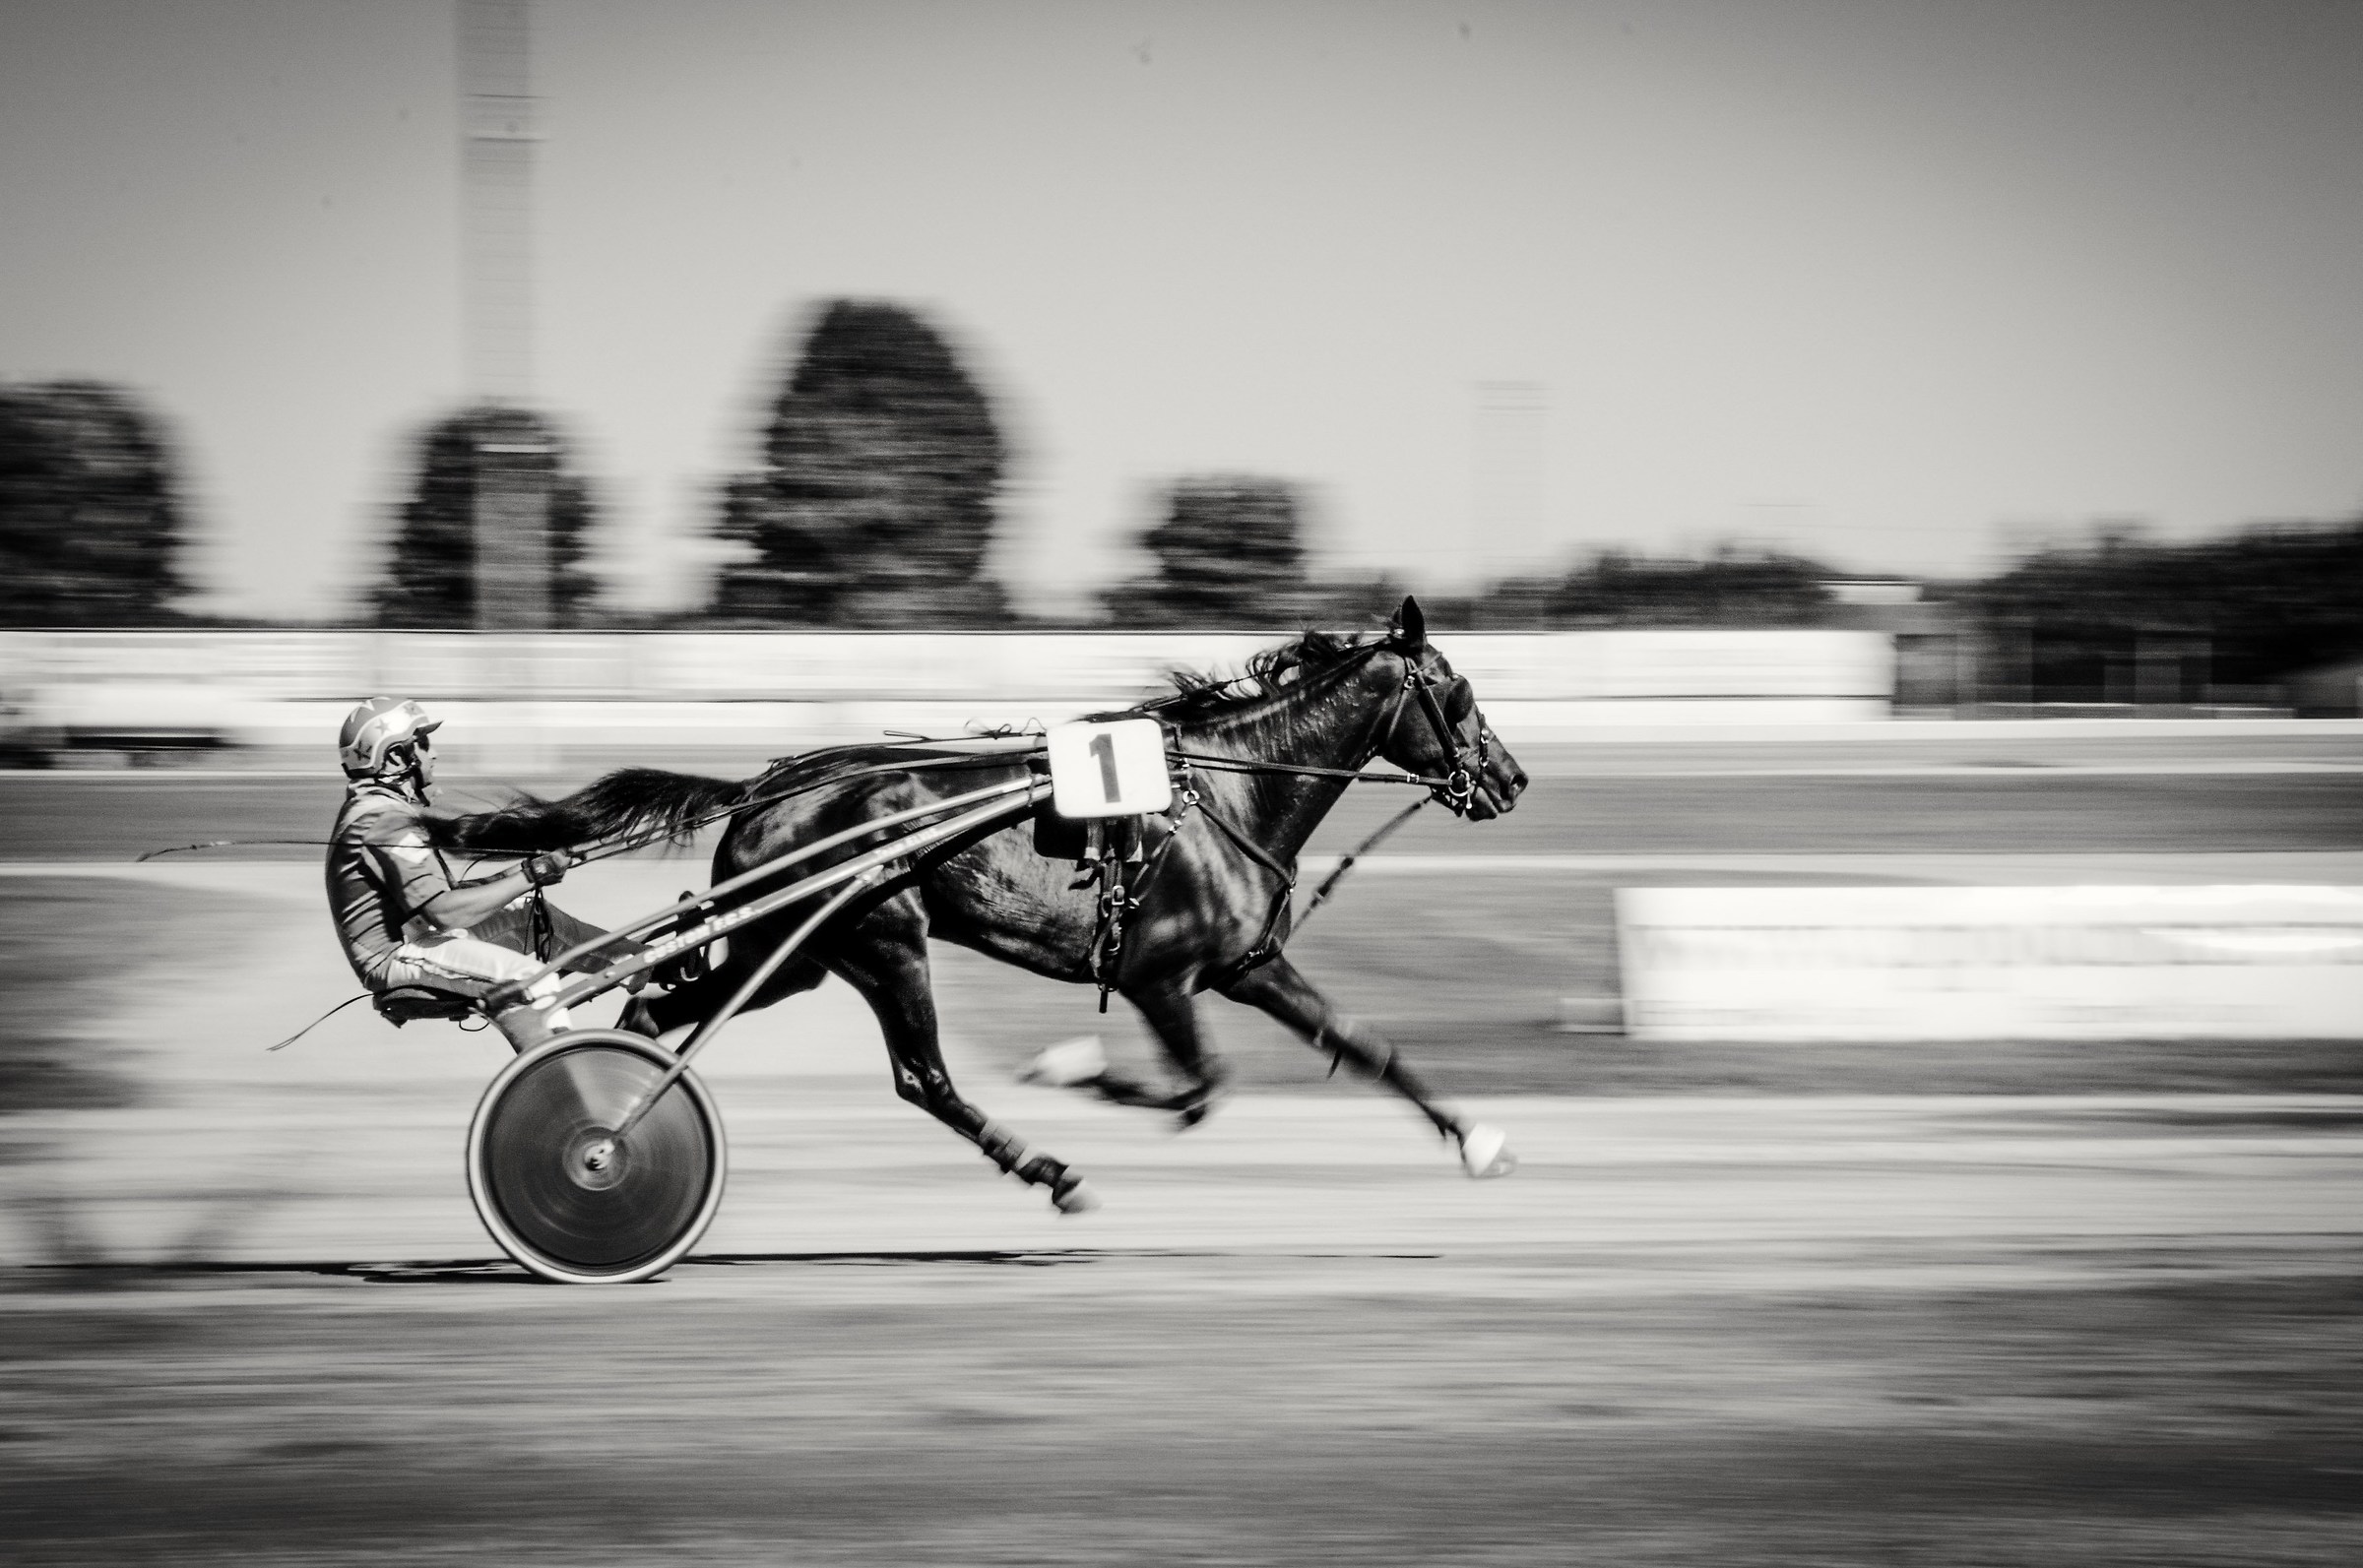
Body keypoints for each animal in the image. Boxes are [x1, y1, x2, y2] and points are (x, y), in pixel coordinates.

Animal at [432, 597, 1528, 1214]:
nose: (1511, 780)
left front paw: (1480, 1142)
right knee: (925, 1077)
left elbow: (1365, 1043)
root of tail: (763, 788)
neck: (1224, 791)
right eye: (1457, 689)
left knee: (656, 1007)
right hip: (884, 938)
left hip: (791, 956)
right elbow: (1198, 1088)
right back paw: (1045, 1168)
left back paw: (615, 1111)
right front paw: (1073, 1068)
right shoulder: (1158, 977)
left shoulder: (1246, 968)